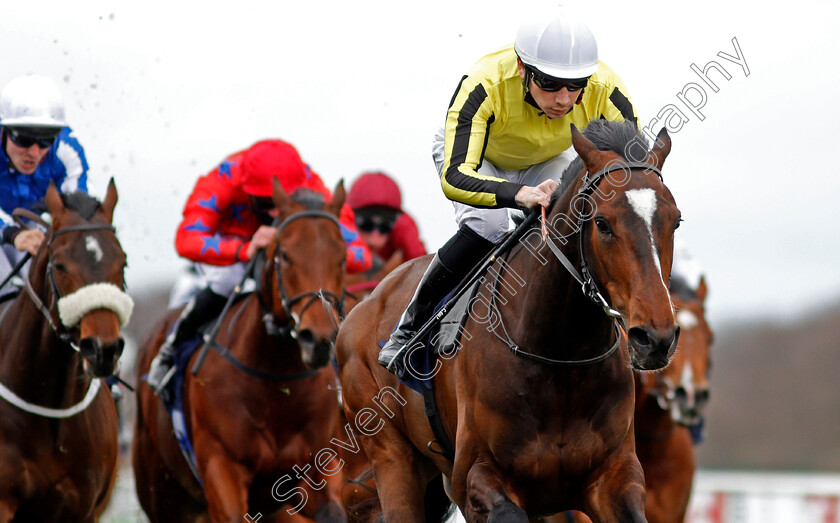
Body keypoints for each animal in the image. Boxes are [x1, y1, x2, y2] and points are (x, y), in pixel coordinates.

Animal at [130, 179, 352, 520]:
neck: (277, 380)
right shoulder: (222, 468)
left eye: (342, 256)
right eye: (284, 254)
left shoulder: (317, 468)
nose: (319, 339)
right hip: (161, 493)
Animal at [334, 119, 684, 523]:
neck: (560, 358)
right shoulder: (474, 476)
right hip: (392, 456)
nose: (655, 338)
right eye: (601, 223)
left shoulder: (615, 476)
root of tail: (364, 305)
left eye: (676, 221)